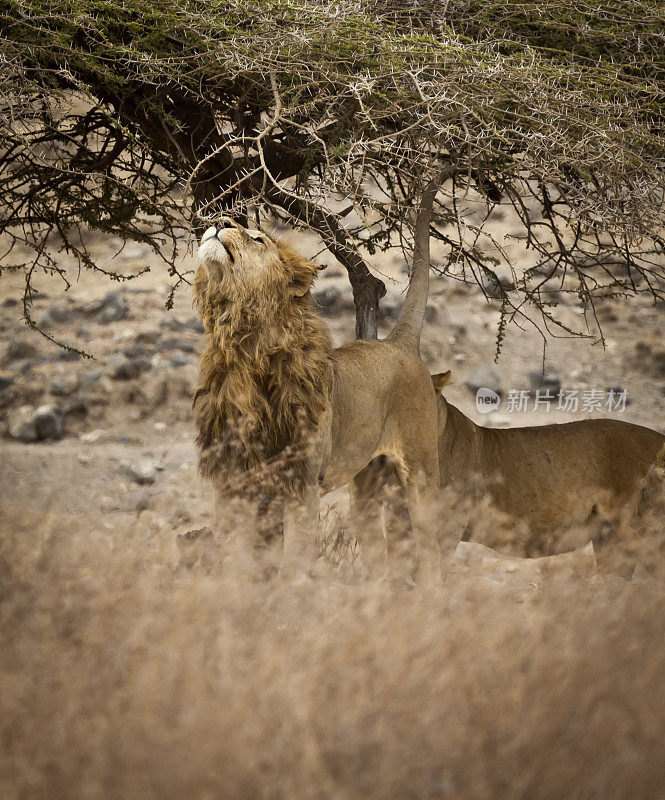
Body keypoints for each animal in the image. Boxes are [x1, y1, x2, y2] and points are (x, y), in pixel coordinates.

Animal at [191, 209, 440, 580]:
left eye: (258, 238)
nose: (220, 220)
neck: (244, 343)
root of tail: (399, 343)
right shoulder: (230, 481)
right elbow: (234, 555)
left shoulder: (301, 483)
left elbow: (293, 560)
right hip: (365, 485)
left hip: (421, 473)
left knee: (430, 543)